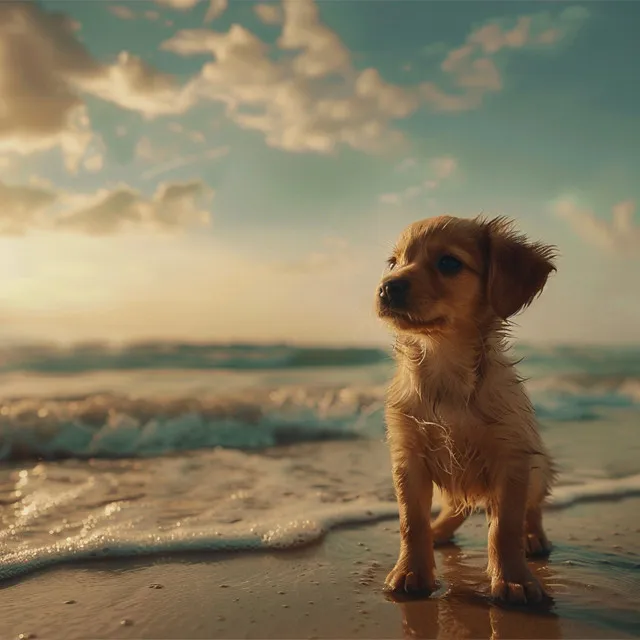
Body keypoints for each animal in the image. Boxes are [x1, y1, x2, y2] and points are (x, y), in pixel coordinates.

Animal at [378, 215, 556, 604]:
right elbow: (411, 521)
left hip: (538, 468)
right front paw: (411, 571)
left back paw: (533, 536)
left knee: (532, 508)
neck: (445, 363)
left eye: (448, 263)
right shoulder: (408, 455)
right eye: (394, 263)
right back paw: (440, 530)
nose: (386, 287)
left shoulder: (512, 455)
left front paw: (513, 579)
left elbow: (504, 527)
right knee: (455, 508)